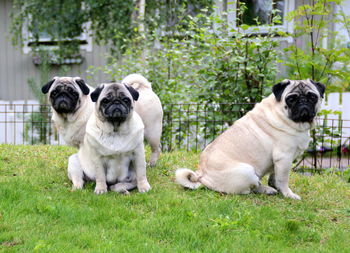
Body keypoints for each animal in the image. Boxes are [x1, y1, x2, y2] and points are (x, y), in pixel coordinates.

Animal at [175, 79, 326, 200]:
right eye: (292, 99)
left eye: (312, 97)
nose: (303, 102)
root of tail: (201, 176)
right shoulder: (284, 158)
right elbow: (283, 180)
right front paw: (288, 194)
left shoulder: (278, 162)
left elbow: (274, 177)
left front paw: (275, 186)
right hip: (248, 172)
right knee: (249, 190)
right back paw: (265, 190)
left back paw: (269, 189)